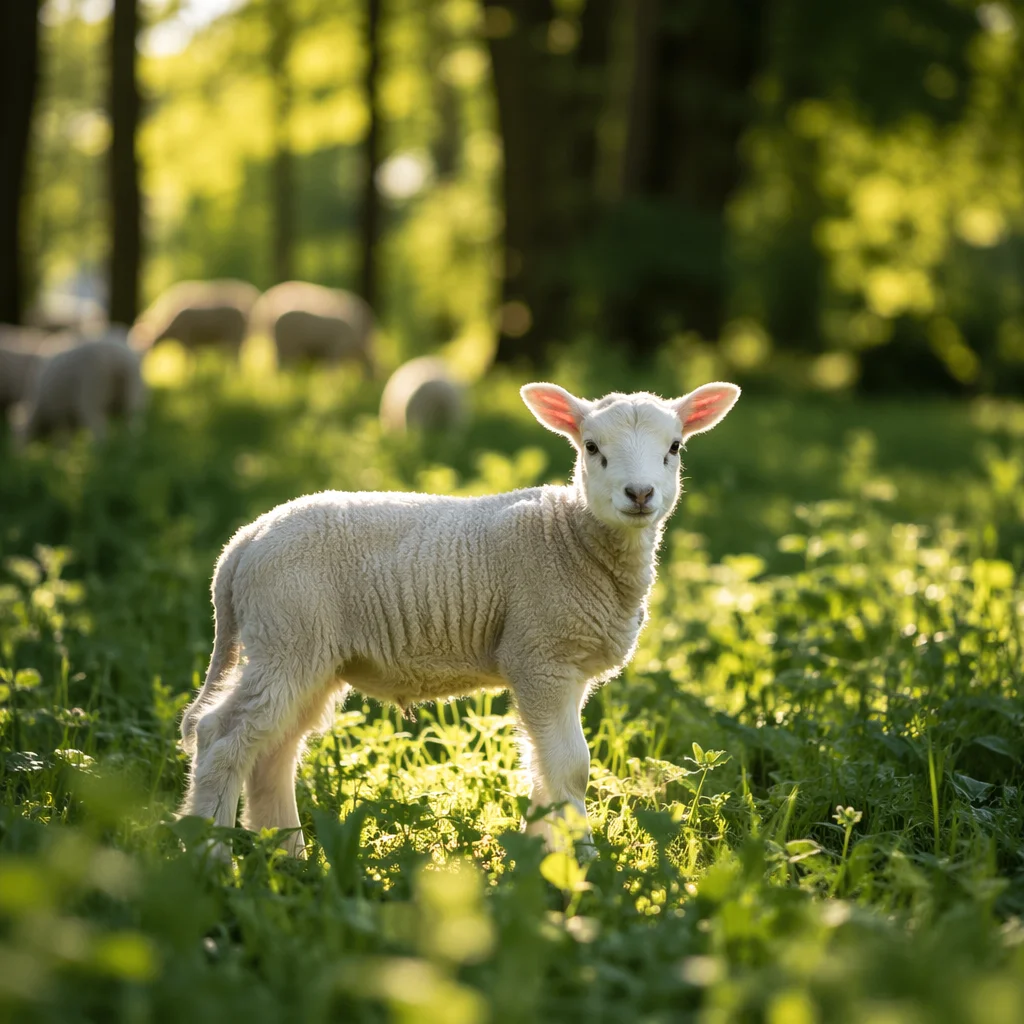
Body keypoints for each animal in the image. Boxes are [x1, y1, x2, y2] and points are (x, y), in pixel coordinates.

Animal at [177, 380, 741, 859]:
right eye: (591, 447)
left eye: (675, 448)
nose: (640, 494)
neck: (571, 536)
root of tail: (242, 545)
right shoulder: (539, 655)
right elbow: (571, 771)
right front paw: (584, 867)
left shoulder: (567, 669)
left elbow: (542, 773)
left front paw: (537, 861)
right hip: (287, 636)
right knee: (221, 737)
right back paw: (211, 857)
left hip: (307, 652)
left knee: (274, 755)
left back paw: (289, 857)